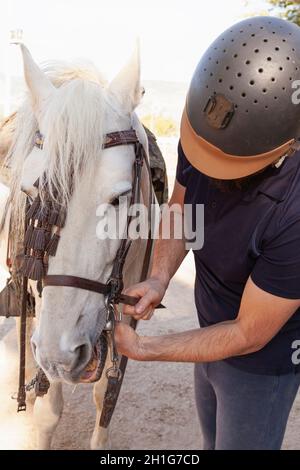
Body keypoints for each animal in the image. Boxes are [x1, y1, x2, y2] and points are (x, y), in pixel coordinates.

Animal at [0, 45, 154, 452]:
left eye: (120, 198)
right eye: (30, 194)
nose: (61, 354)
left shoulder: (129, 314)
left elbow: (106, 398)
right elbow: (49, 411)